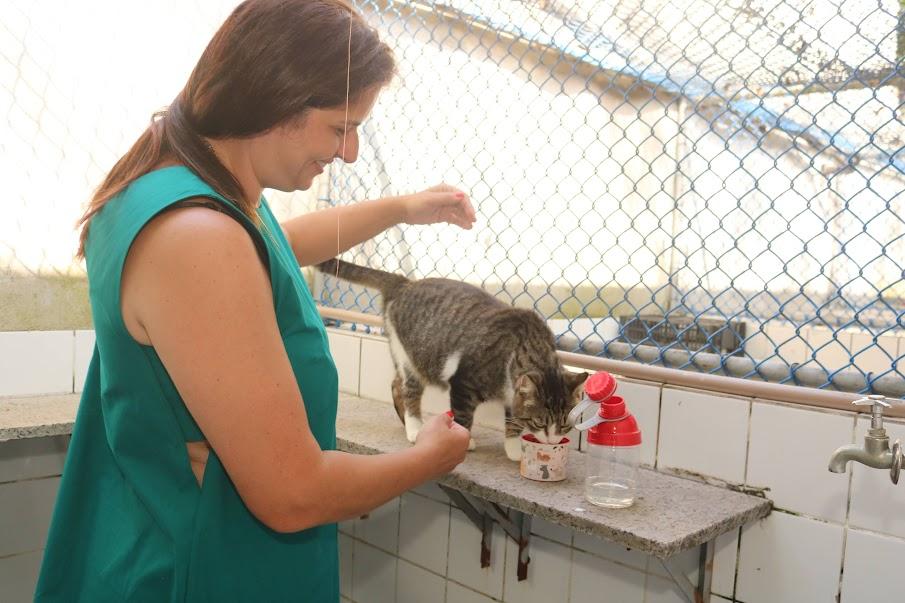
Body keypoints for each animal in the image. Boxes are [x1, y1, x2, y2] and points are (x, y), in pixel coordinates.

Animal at [318, 260, 588, 462]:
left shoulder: (512, 394)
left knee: (396, 384)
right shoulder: (464, 382)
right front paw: (463, 441)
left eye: (565, 426)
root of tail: (406, 282)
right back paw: (415, 427)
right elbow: (464, 417)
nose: (552, 441)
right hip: (412, 355)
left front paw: (513, 449)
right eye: (540, 421)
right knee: (408, 389)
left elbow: (512, 420)